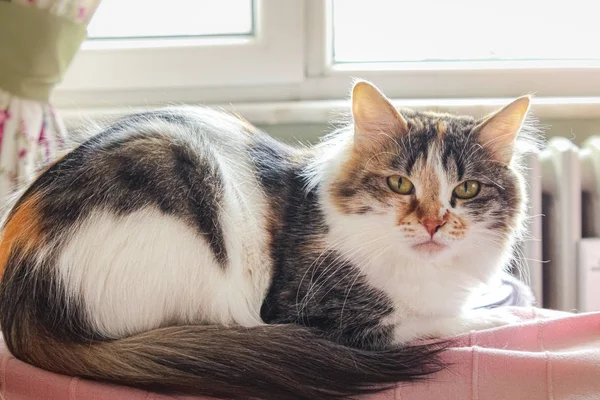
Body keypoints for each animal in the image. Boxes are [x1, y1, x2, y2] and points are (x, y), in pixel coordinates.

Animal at [0, 81, 536, 400]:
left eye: (465, 190)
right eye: (399, 184)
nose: (432, 223)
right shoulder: (315, 313)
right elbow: (438, 320)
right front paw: (503, 317)